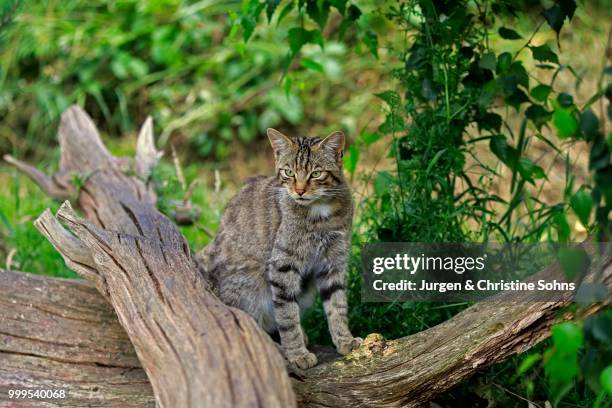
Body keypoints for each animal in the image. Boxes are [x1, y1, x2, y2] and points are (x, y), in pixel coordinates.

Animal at [198, 128, 360, 370]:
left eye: (316, 174)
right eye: (288, 172)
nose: (299, 191)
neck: (320, 212)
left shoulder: (334, 262)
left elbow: (337, 306)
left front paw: (344, 340)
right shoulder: (283, 265)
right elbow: (286, 315)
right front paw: (296, 353)